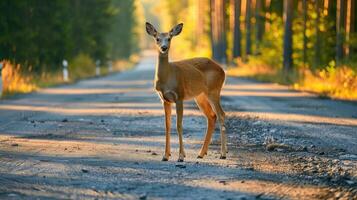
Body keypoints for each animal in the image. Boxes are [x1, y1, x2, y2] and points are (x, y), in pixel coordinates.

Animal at [145, 22, 225, 162]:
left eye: (169, 38)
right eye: (157, 39)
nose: (164, 48)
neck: (167, 78)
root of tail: (222, 70)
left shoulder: (179, 95)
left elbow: (179, 125)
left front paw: (181, 156)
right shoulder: (164, 99)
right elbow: (167, 125)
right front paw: (165, 155)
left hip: (214, 90)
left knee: (221, 115)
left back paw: (223, 154)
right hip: (200, 96)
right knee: (211, 116)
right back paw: (201, 153)